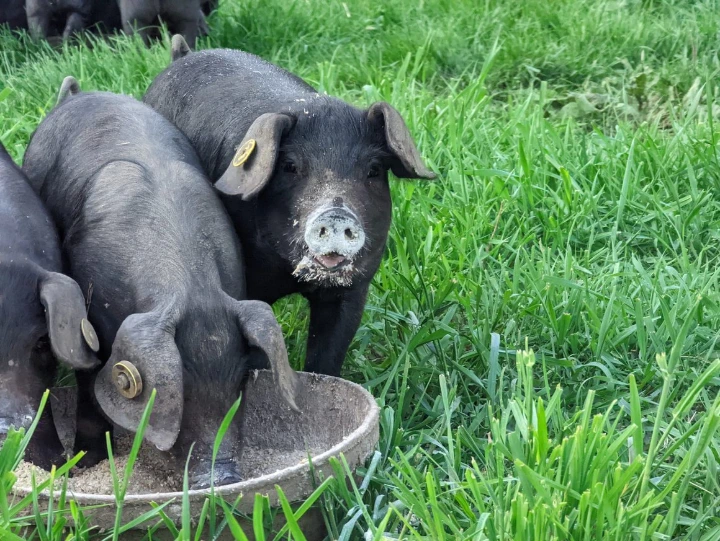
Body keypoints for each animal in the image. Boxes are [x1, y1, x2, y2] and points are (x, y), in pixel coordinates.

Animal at [23, 77, 300, 487]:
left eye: (242, 380)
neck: (191, 286)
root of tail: (74, 95)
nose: (221, 477)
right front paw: (88, 461)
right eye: (180, 389)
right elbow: (90, 387)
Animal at [143, 36, 436, 377]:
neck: (292, 277)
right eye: (290, 166)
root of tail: (183, 55)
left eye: (374, 169)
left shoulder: (354, 288)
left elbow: (329, 354)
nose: (336, 212)